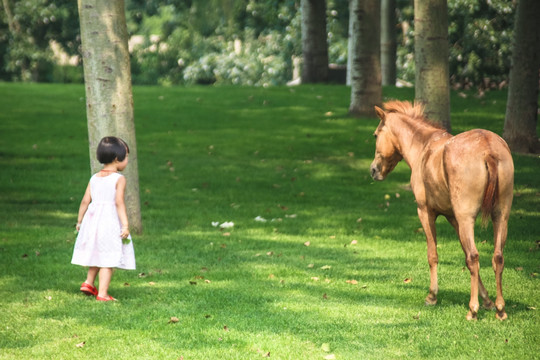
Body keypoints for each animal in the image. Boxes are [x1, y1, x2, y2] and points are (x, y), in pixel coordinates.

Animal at [370, 101, 512, 320]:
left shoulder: (426, 212)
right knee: (497, 257)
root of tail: (488, 149)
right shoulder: (453, 217)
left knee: (474, 256)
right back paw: (500, 309)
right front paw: (487, 300)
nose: (373, 170)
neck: (423, 147)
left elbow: (434, 254)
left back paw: (472, 310)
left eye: (376, 135)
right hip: (501, 216)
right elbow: (464, 254)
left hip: (467, 218)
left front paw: (432, 296)